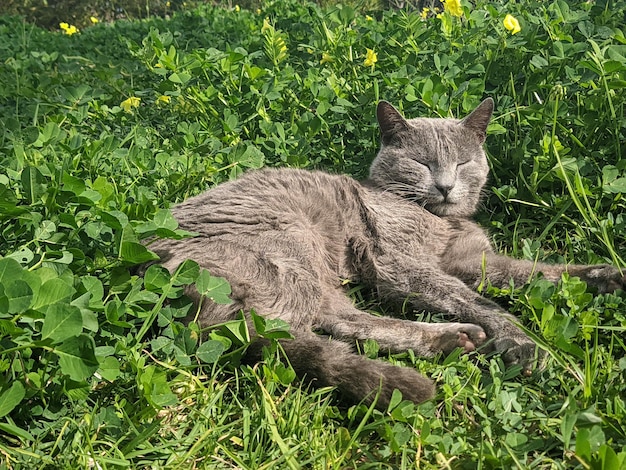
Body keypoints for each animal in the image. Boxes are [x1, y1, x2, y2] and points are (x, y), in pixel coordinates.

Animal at [147, 98, 624, 408]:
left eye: (463, 163)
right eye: (422, 163)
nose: (446, 186)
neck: (440, 220)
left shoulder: (473, 260)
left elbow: (538, 271)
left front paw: (607, 275)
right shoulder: (399, 264)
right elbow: (479, 300)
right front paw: (523, 342)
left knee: (335, 321)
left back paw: (448, 340)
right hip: (293, 243)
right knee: (308, 329)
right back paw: (448, 341)